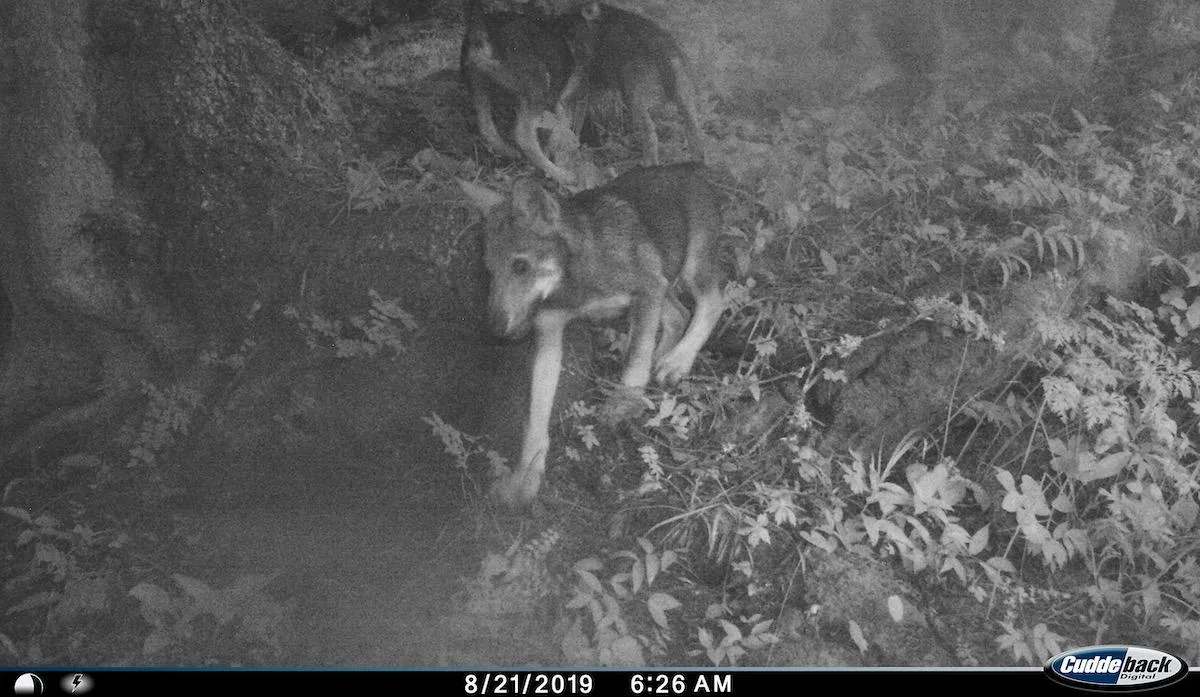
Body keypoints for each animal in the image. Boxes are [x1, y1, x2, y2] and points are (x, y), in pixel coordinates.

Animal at [460, 164, 727, 506]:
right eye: (489, 272)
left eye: (520, 266)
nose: (493, 329)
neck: (573, 285)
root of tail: (689, 167)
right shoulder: (550, 333)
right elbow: (535, 417)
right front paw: (525, 479)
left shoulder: (647, 289)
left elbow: (635, 360)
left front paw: (623, 405)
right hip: (665, 280)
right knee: (678, 316)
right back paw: (662, 361)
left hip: (691, 270)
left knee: (714, 303)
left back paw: (675, 362)